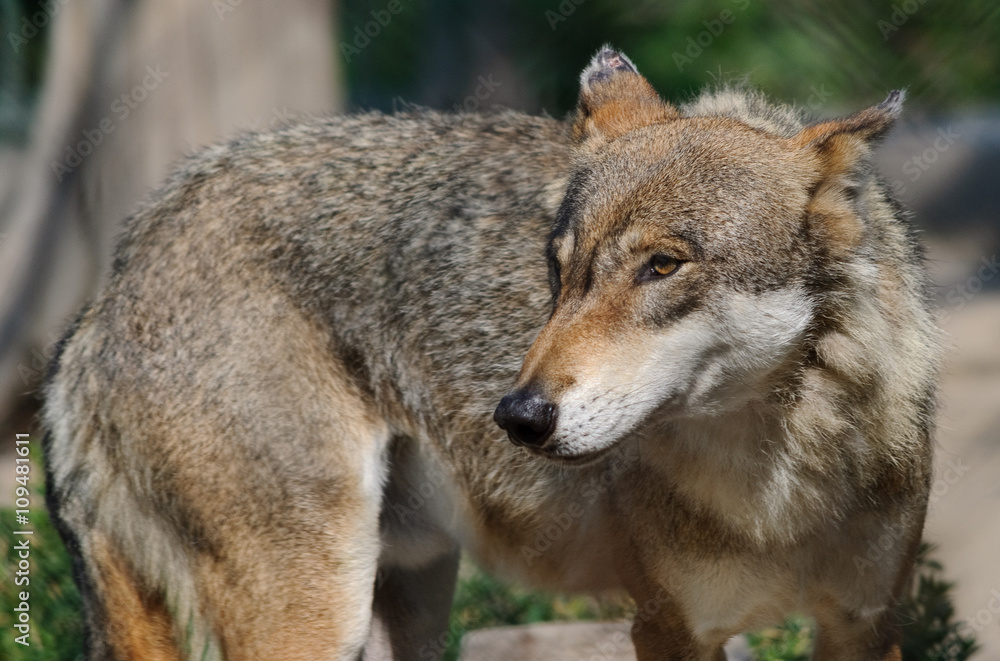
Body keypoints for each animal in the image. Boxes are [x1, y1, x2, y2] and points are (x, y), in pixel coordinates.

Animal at [43, 47, 939, 661]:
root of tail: (115, 273)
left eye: (662, 266)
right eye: (559, 270)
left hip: (404, 602)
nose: (519, 415)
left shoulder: (867, 624)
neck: (779, 486)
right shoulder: (670, 625)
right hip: (313, 612)